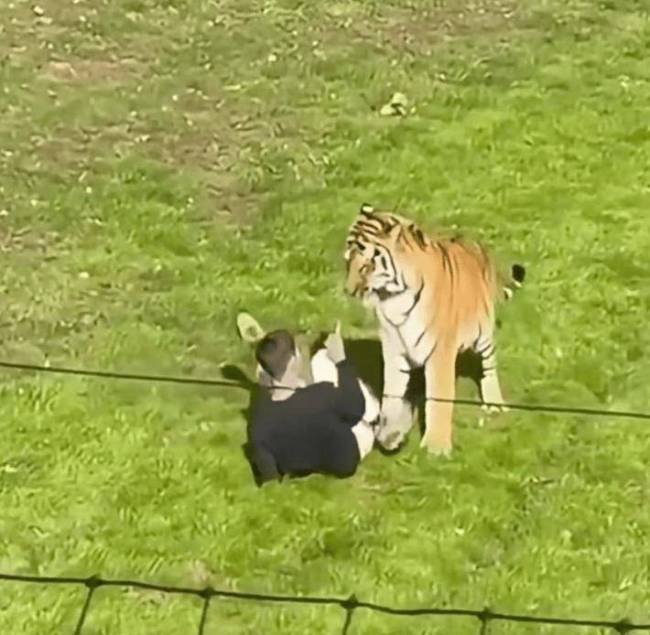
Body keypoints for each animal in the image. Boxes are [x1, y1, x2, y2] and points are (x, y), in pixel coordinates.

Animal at [343, 203, 526, 456]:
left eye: (367, 264)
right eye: (347, 261)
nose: (348, 290)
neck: (393, 299)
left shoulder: (440, 351)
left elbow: (438, 398)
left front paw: (436, 447)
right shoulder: (393, 350)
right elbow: (391, 394)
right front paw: (390, 436)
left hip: (484, 334)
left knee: (489, 366)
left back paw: (494, 403)